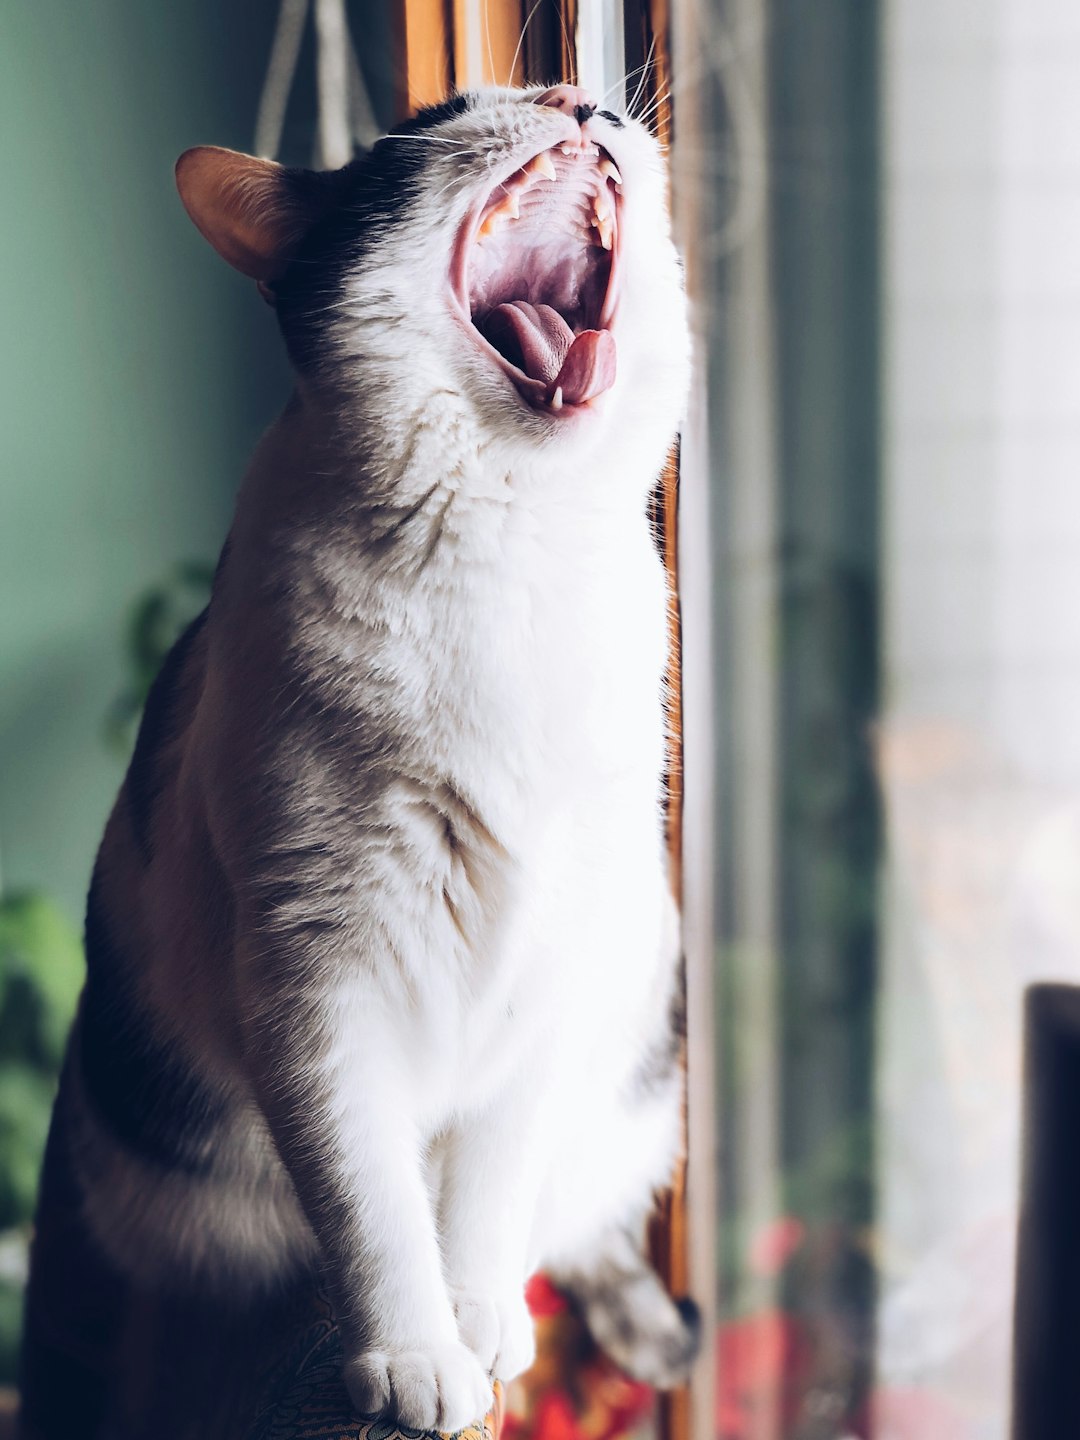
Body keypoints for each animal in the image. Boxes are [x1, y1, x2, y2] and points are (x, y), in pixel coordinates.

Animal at [19, 81, 702, 1440]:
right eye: (446, 115)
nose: (572, 94)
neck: (514, 558)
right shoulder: (316, 981)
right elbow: (373, 1209)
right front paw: (416, 1362)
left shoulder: (554, 970)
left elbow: (485, 1193)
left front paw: (480, 1322)